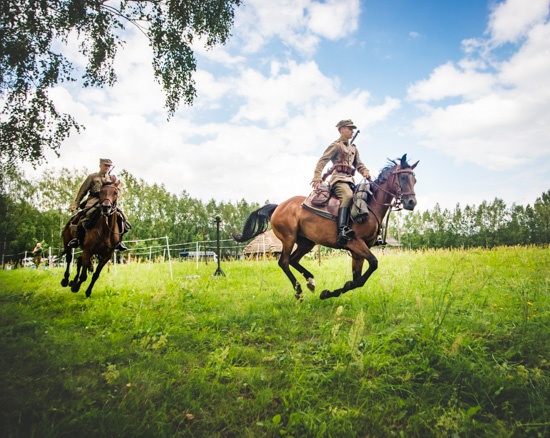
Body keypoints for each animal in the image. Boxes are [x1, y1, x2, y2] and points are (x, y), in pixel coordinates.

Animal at [232, 152, 418, 300]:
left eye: (414, 179)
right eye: (402, 177)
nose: (411, 202)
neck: (369, 205)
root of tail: (278, 207)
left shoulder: (357, 252)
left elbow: (357, 280)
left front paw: (331, 292)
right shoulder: (355, 243)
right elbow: (372, 264)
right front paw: (330, 292)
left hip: (307, 242)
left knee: (293, 260)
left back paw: (311, 281)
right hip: (288, 238)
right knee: (283, 262)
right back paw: (299, 291)